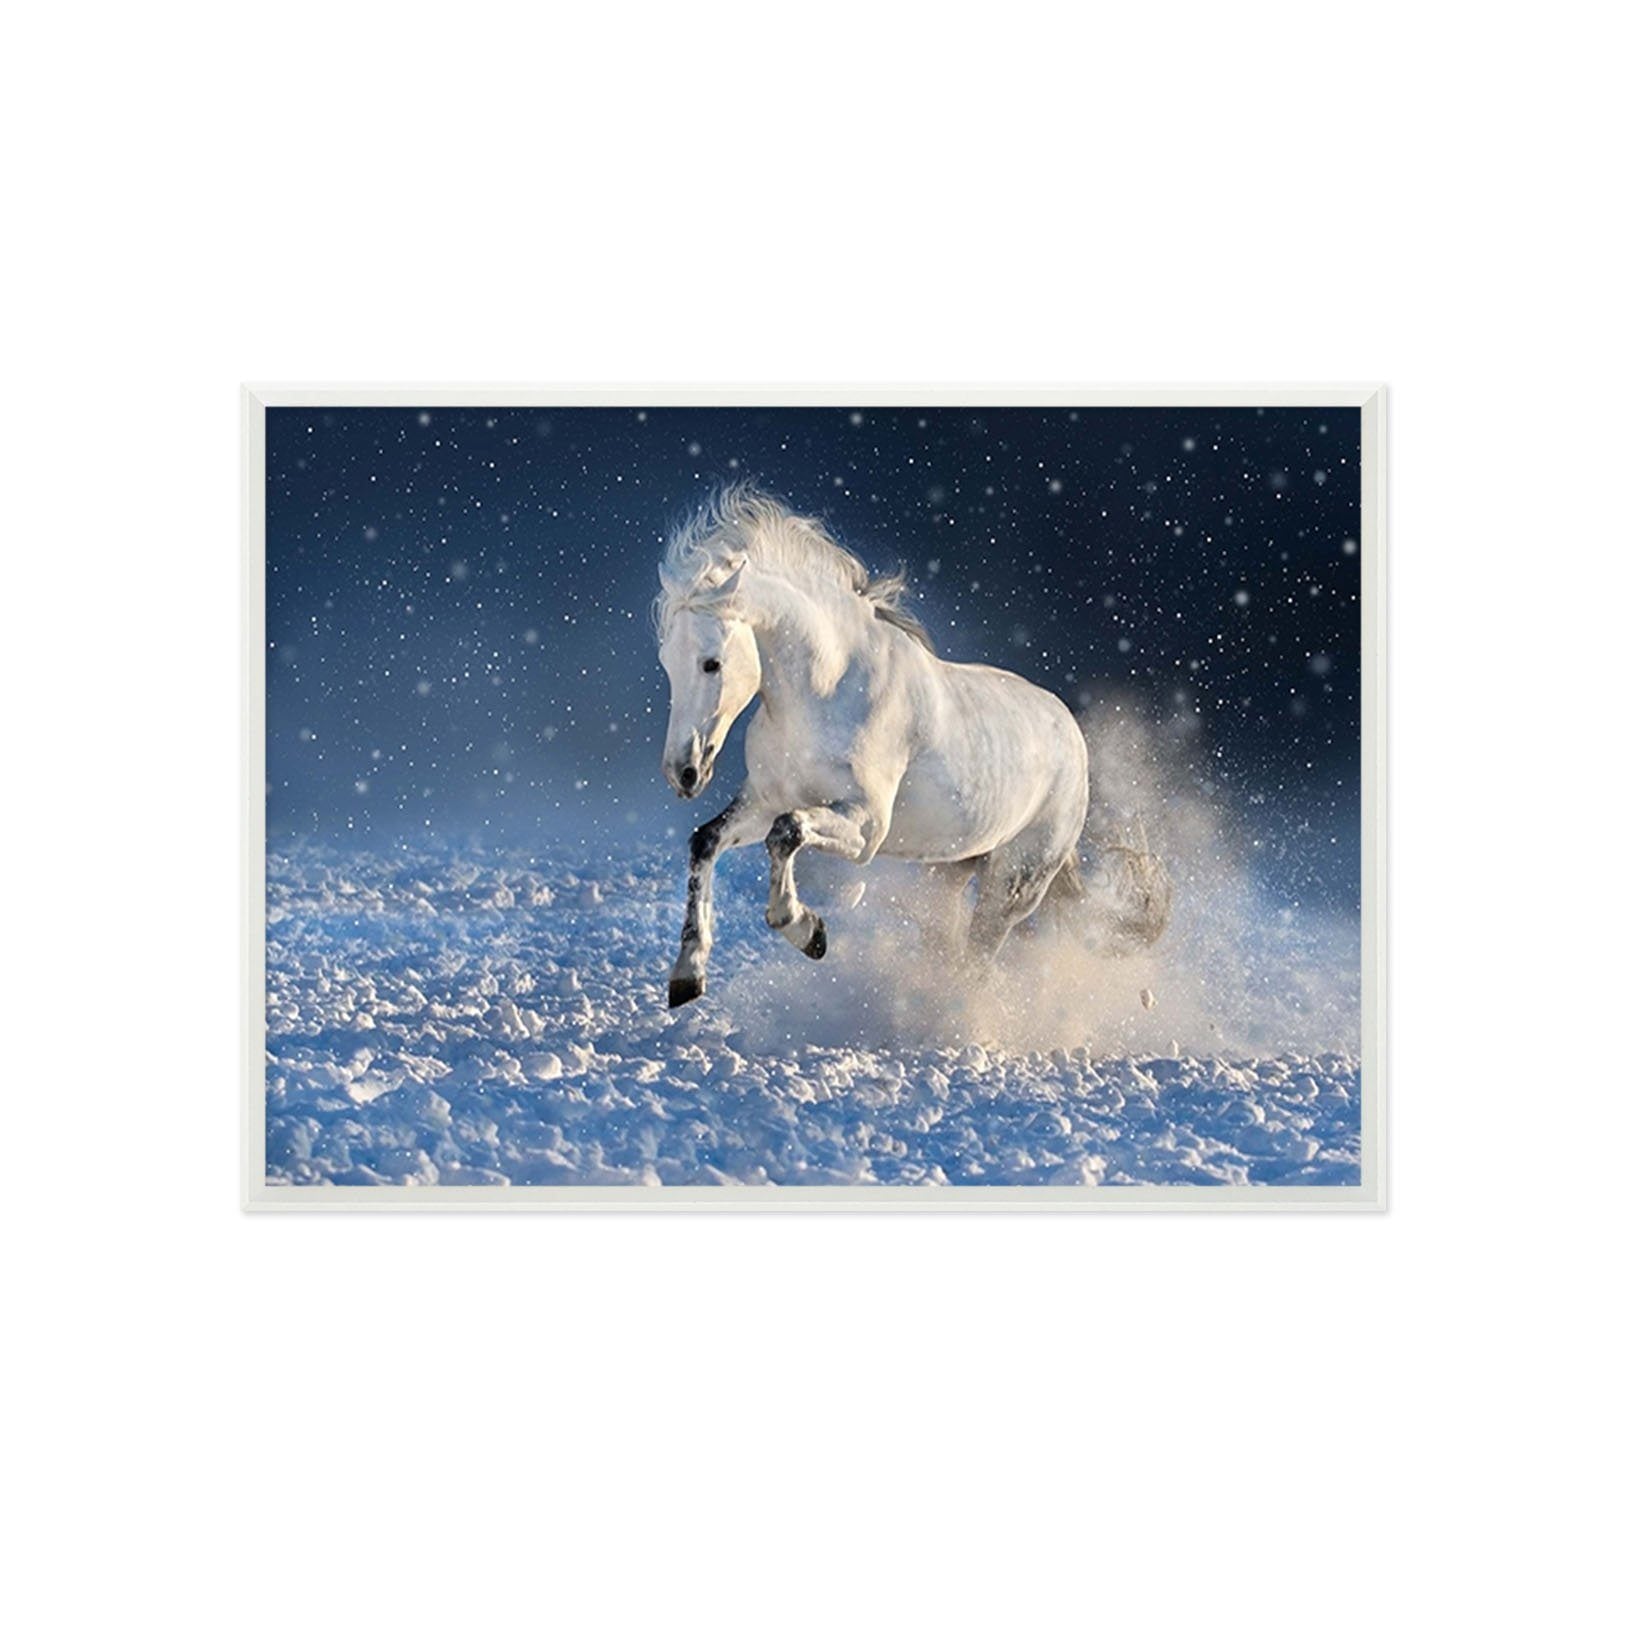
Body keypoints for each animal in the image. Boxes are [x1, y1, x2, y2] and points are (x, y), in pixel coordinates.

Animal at [654, 485, 1166, 1007]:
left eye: (712, 663)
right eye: (667, 661)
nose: (684, 773)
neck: (827, 692)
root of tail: (1072, 739)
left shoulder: (866, 827)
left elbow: (788, 832)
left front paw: (807, 931)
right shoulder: (764, 801)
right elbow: (706, 841)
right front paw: (688, 974)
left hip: (1013, 884)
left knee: (978, 960)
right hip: (949, 873)